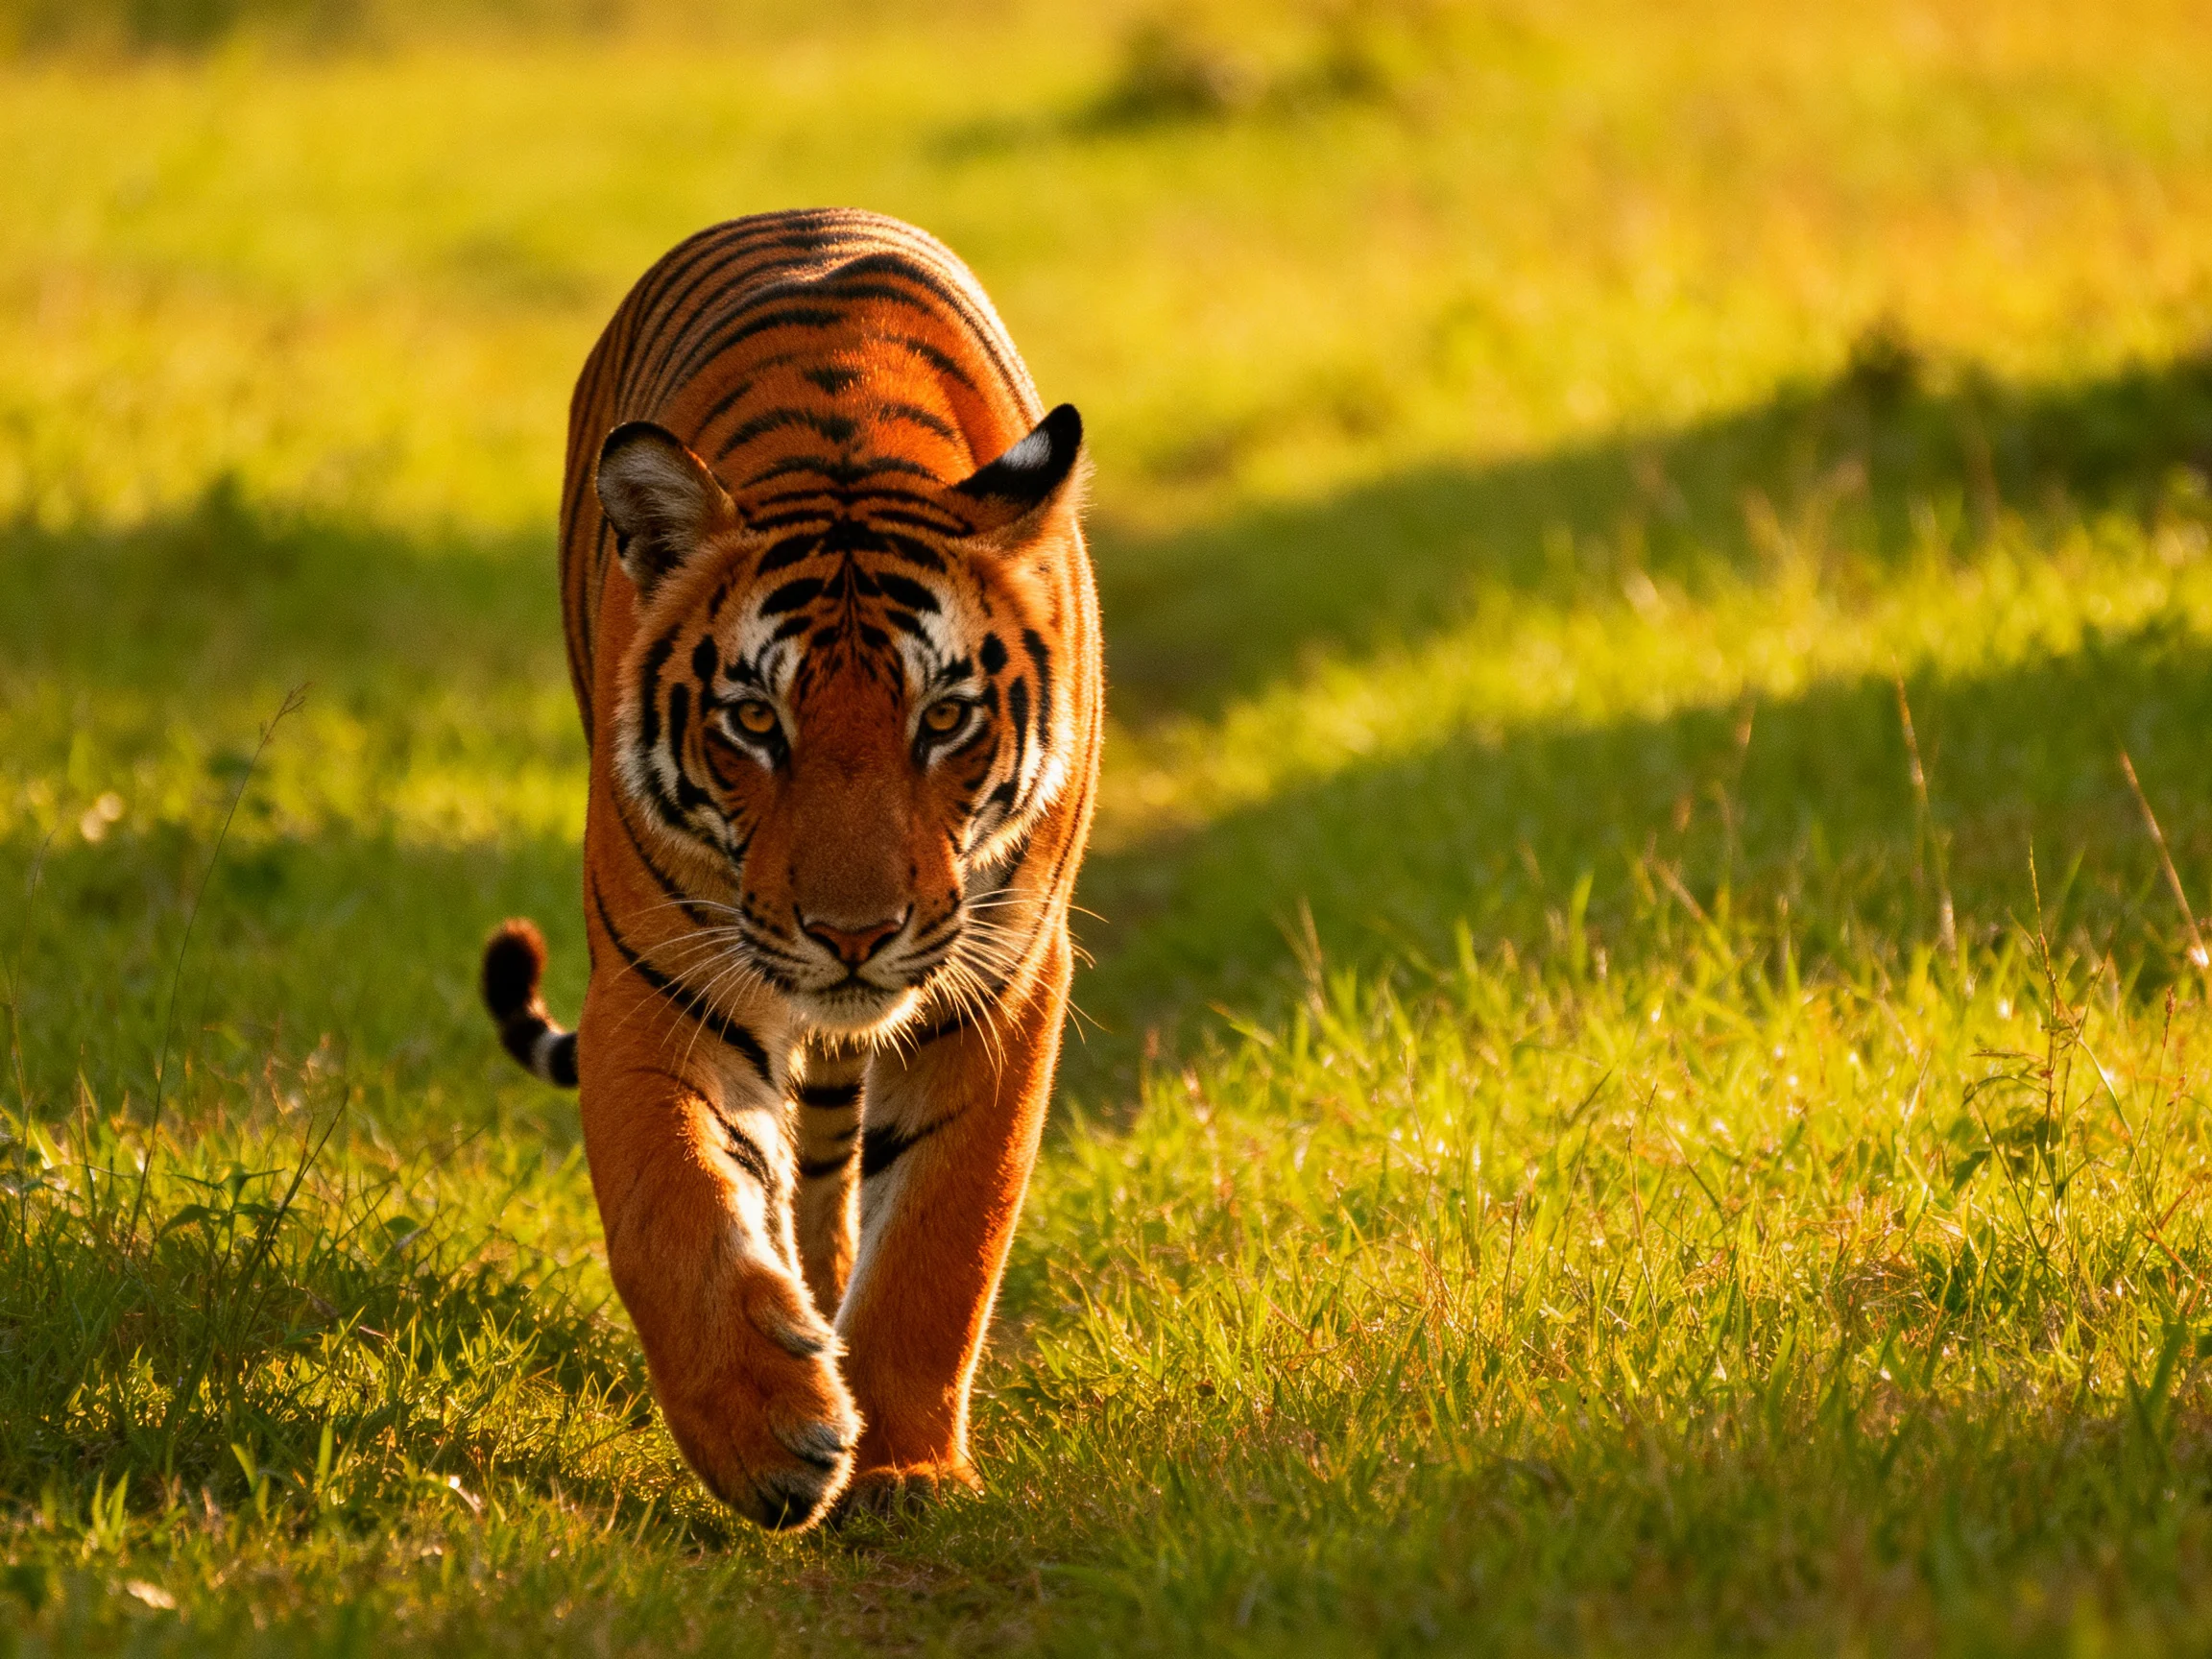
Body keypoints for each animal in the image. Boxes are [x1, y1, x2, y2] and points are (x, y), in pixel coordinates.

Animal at [478, 208, 1100, 1530]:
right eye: (756, 722)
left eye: (945, 717)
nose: (852, 933)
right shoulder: (659, 982)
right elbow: (673, 1201)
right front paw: (771, 1435)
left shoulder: (1006, 979)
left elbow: (944, 1237)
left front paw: (908, 1467)